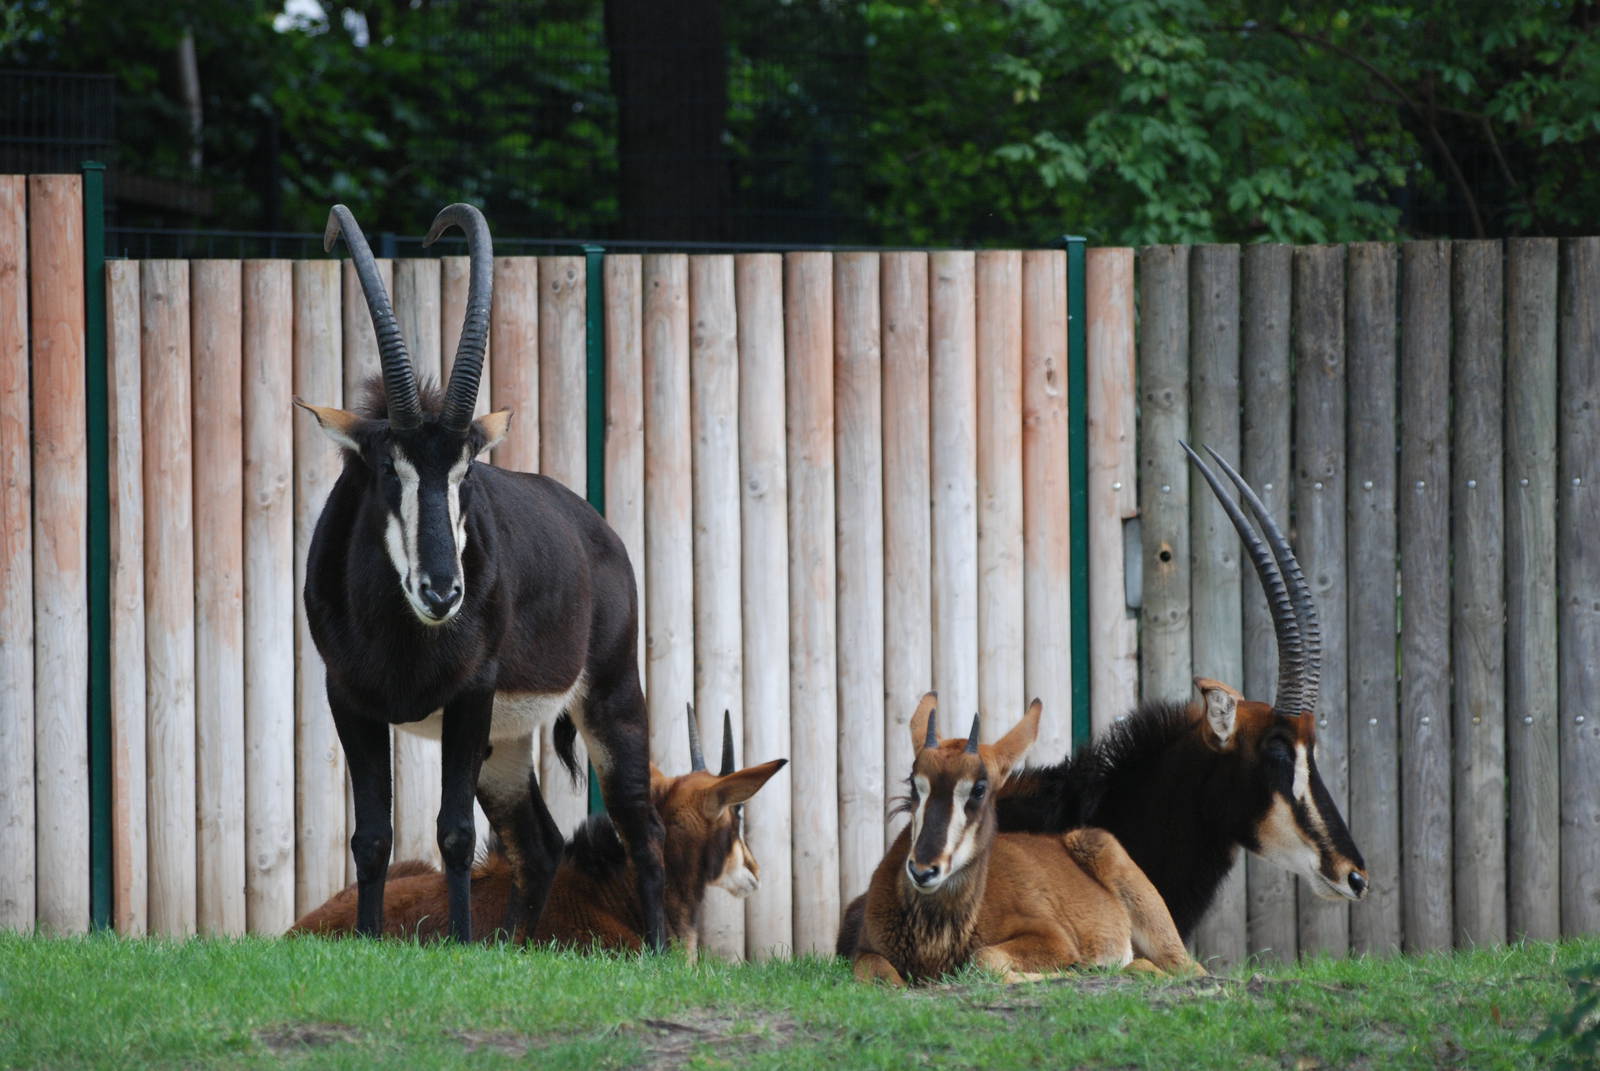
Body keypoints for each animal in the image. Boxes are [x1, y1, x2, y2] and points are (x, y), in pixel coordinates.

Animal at [295, 203, 664, 947]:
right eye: (389, 469)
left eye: (465, 470)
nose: (442, 592)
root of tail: (600, 532)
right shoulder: (347, 697)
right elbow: (371, 837)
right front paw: (371, 939)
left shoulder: (471, 695)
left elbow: (455, 832)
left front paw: (458, 945)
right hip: (507, 743)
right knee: (541, 843)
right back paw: (513, 945)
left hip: (609, 699)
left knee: (640, 826)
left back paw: (667, 951)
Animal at [850, 695, 1198, 986]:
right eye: (914, 783)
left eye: (980, 788)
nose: (923, 870)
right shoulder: (865, 950)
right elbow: (875, 973)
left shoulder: (1054, 938)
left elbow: (984, 958)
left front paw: (1072, 971)